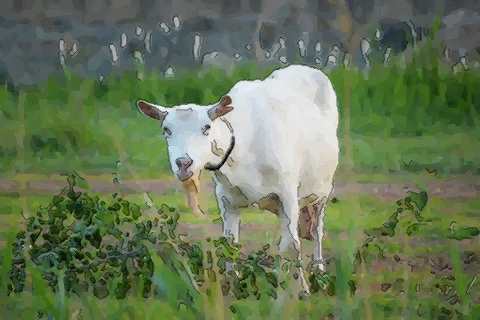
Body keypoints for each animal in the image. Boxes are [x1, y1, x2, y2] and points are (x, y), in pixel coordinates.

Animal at [139, 64, 340, 292]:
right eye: (167, 129)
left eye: (206, 128)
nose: (183, 162)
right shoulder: (227, 200)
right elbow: (230, 244)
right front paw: (232, 286)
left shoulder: (288, 194)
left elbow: (291, 245)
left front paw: (300, 291)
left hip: (322, 191)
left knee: (317, 231)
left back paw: (319, 271)